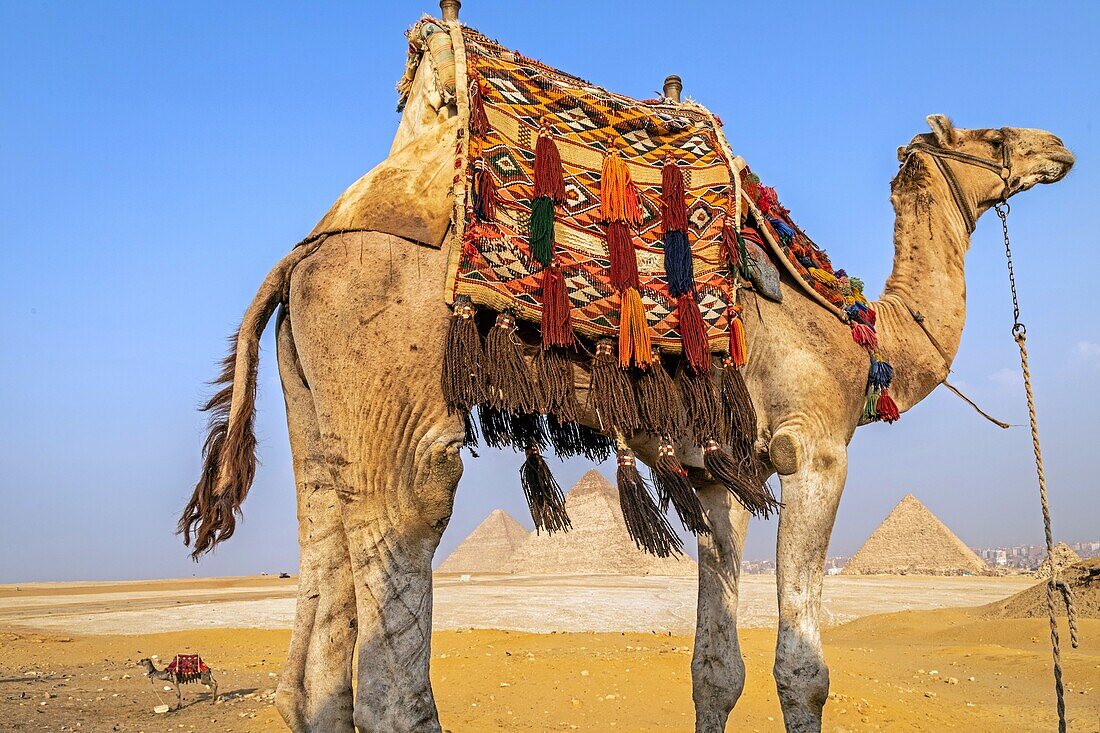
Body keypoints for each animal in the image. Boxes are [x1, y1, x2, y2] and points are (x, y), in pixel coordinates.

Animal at [176, 14, 1069, 726]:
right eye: (991, 139)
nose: (1056, 145)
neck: (861, 331)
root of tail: (299, 258)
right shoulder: (814, 447)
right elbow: (802, 671)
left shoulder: (719, 475)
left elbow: (716, 670)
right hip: (393, 406)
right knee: (397, 625)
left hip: (315, 412)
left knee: (311, 664)